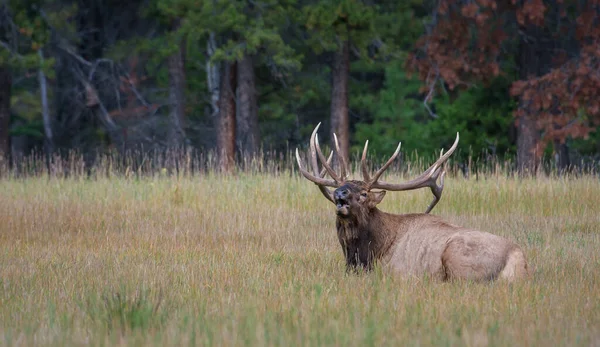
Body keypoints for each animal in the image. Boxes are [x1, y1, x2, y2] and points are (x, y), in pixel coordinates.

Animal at [296, 125, 528, 282]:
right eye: (342, 186)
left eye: (363, 194)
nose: (339, 193)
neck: (364, 255)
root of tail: (519, 259)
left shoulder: (395, 271)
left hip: (457, 255)